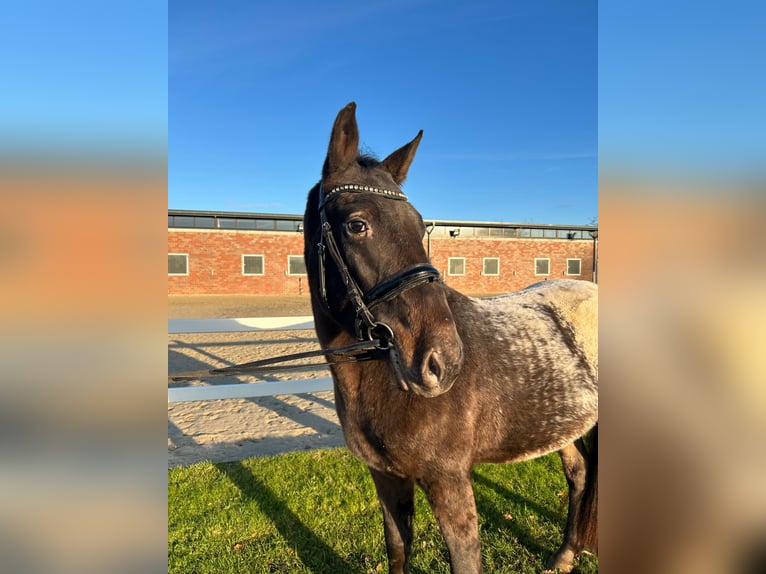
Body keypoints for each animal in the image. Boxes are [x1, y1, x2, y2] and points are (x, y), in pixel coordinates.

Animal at [304, 103, 596, 574]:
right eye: (356, 225)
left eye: (420, 224)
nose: (441, 361)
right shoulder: (386, 479)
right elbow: (398, 549)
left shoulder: (449, 483)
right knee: (580, 473)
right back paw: (565, 556)